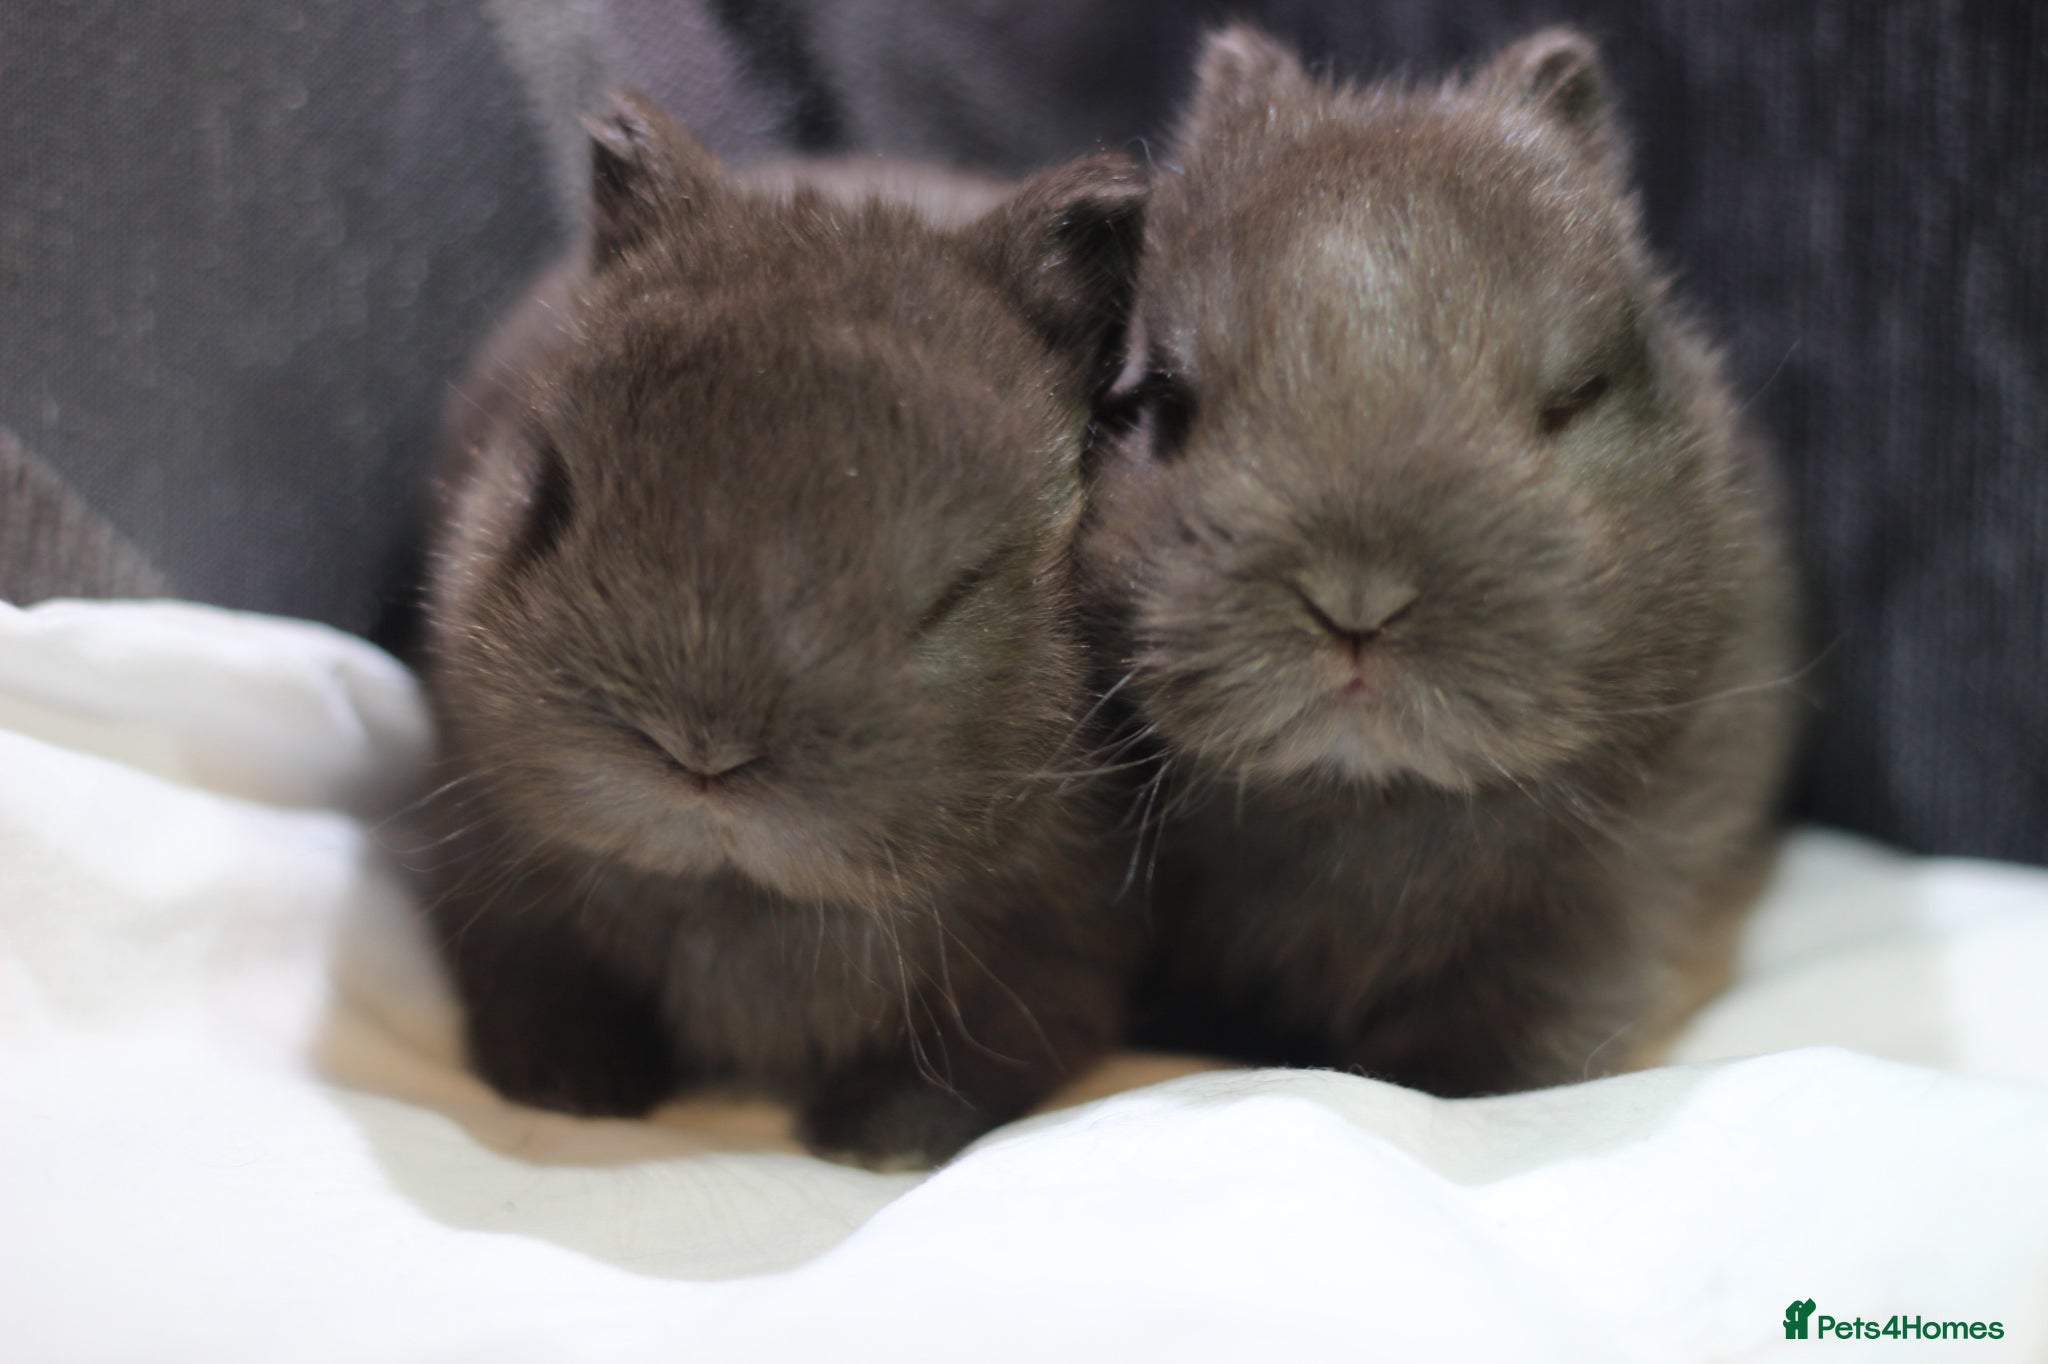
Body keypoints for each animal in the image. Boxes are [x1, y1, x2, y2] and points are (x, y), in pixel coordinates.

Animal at [417, 90, 1146, 1166]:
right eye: (550, 490)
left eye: (957, 580)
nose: (702, 749)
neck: (746, 896)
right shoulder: (495, 876)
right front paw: (572, 1090)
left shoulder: (1056, 947)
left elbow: (976, 1054)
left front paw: (878, 1139)